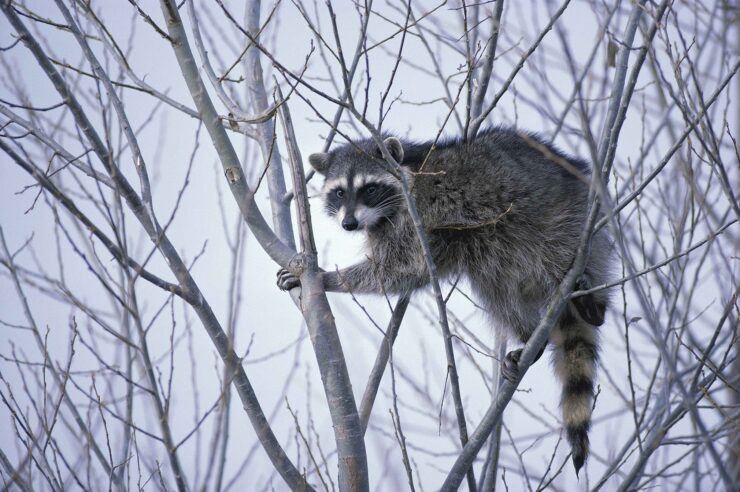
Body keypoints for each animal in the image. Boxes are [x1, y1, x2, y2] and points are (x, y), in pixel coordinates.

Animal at [278, 127, 612, 472]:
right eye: (339, 192)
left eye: (369, 188)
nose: (349, 224)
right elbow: (406, 273)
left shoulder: (417, 217)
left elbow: (399, 268)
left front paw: (328, 277)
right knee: (494, 288)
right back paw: (530, 335)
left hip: (565, 220)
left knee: (556, 254)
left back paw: (593, 303)